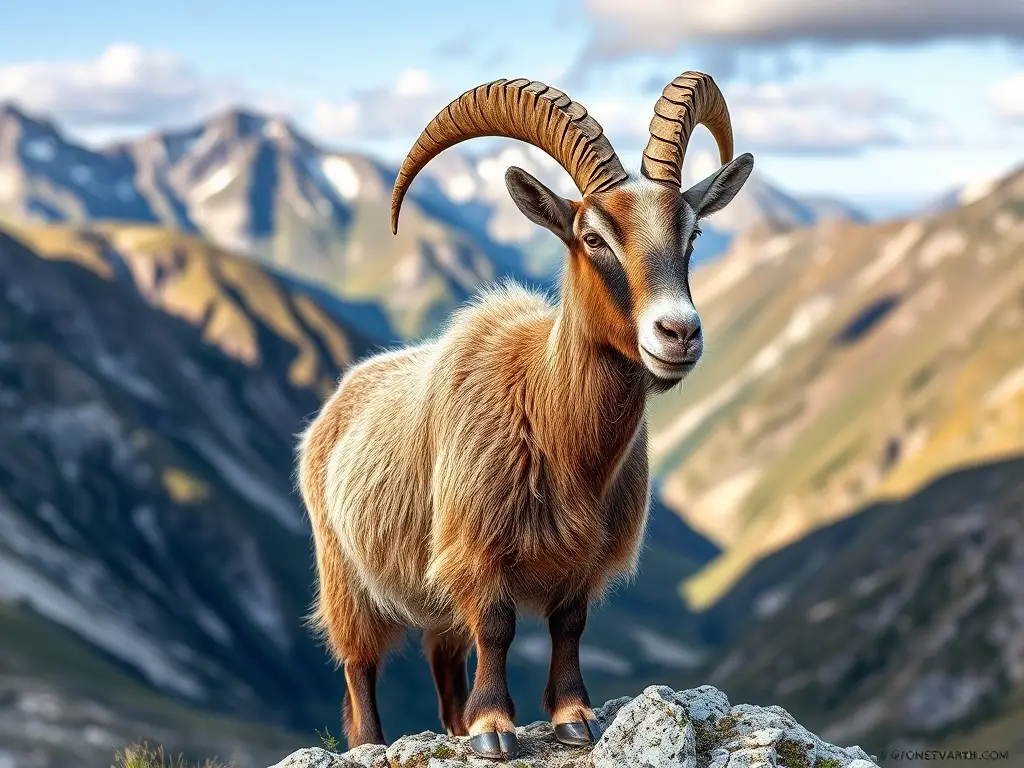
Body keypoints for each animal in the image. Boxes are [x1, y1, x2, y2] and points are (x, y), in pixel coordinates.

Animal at [297, 72, 754, 760]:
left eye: (692, 234)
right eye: (593, 237)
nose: (679, 332)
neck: (551, 422)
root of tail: (339, 401)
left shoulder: (584, 559)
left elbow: (570, 623)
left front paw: (571, 717)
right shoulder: (476, 548)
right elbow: (498, 624)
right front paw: (494, 728)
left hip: (432, 594)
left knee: (442, 659)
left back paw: (454, 727)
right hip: (344, 576)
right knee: (359, 668)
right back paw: (374, 744)